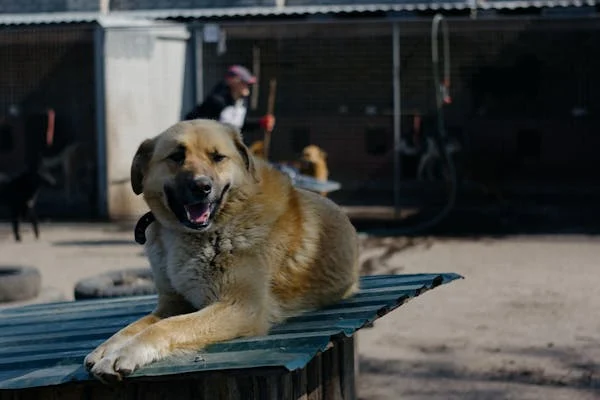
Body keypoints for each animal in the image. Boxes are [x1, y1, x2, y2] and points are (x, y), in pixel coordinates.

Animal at [83, 119, 356, 384]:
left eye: (218, 157)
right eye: (176, 156)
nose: (201, 187)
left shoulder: (240, 307)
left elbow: (165, 327)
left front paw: (124, 354)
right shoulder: (173, 303)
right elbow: (136, 325)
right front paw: (107, 347)